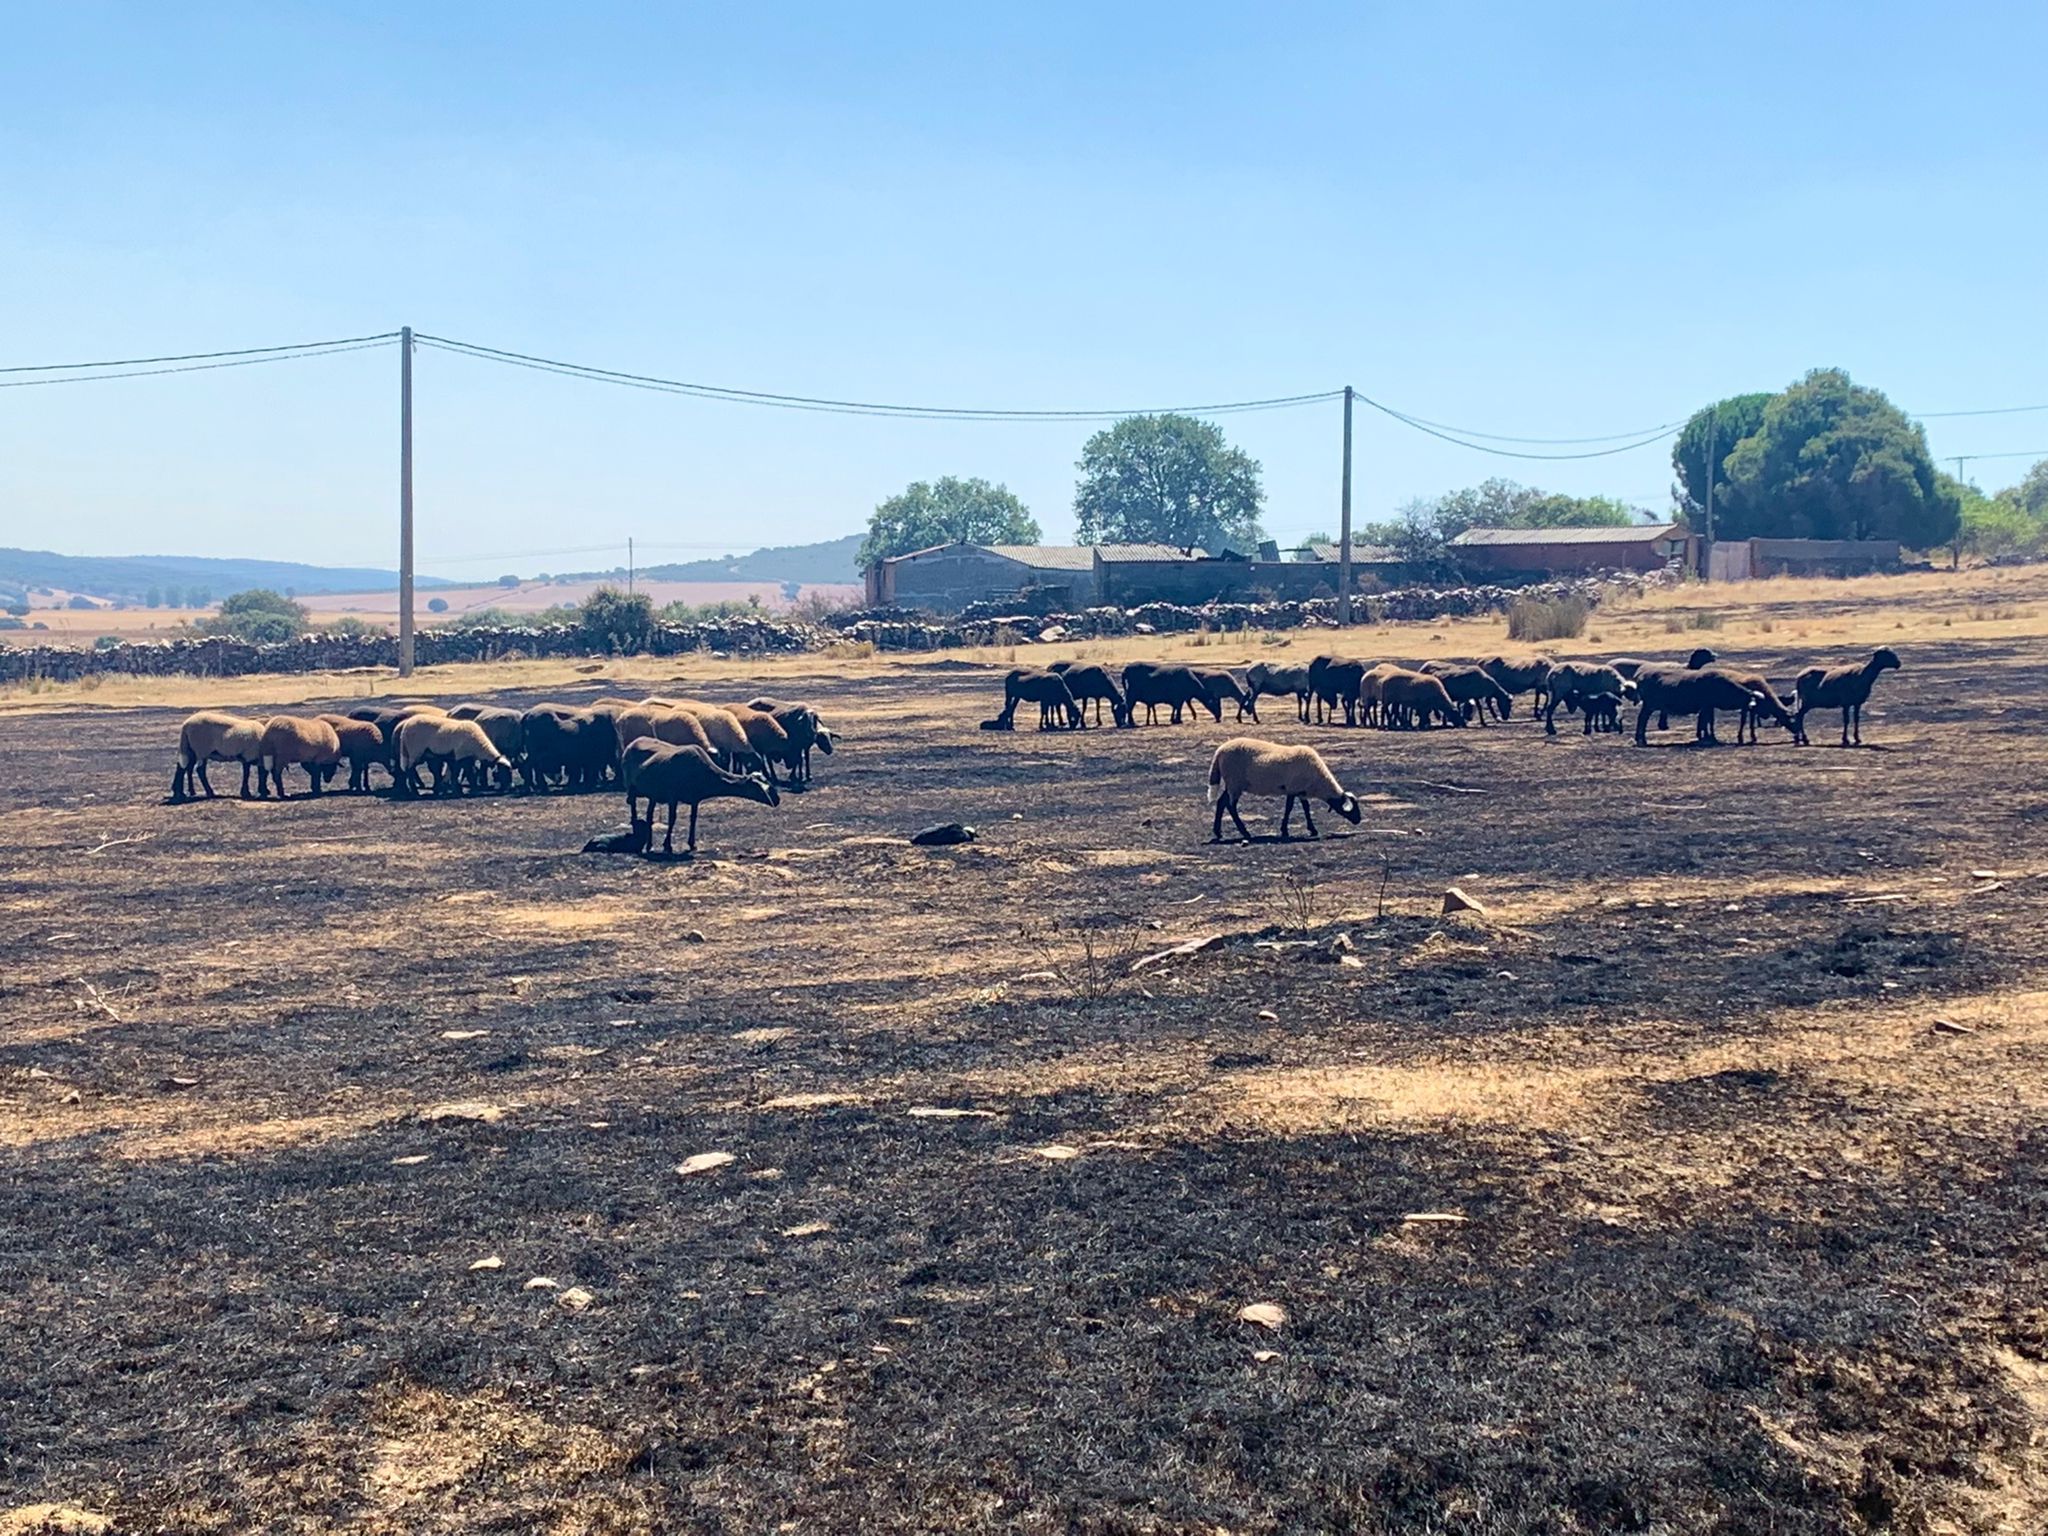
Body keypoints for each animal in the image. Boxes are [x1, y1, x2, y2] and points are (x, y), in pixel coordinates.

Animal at [618, 741, 778, 860]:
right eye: (760, 788)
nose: (777, 800)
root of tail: (631, 744)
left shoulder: (695, 799)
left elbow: (693, 818)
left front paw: (692, 844)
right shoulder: (672, 796)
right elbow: (672, 819)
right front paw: (667, 845)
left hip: (653, 794)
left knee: (649, 815)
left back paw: (649, 844)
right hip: (631, 788)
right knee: (633, 809)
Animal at [1204, 741, 1368, 847]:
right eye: (1352, 809)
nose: (1358, 820)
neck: (1318, 780)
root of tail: (1219, 752)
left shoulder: (1300, 791)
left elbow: (1306, 808)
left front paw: (1312, 829)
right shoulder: (1293, 788)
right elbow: (1289, 808)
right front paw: (1285, 831)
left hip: (1232, 784)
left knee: (1221, 802)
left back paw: (1218, 832)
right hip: (1235, 783)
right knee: (1231, 806)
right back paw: (1245, 833)